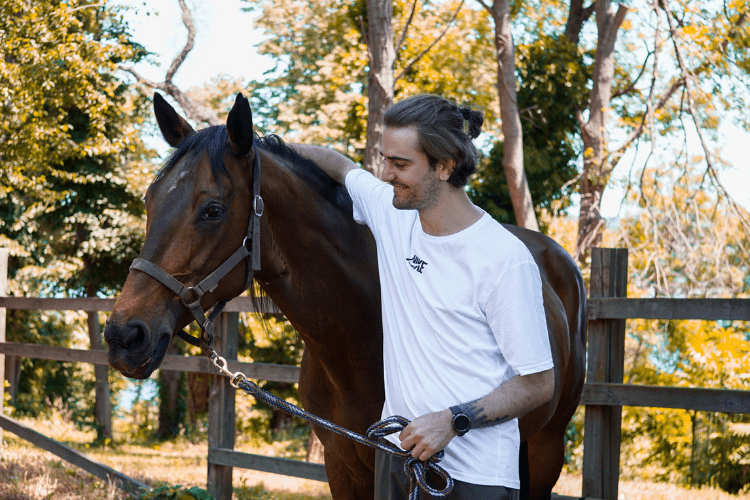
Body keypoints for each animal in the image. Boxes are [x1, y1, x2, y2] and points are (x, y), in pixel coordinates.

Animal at [104, 94, 588, 500]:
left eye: (213, 210)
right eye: (150, 200)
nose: (123, 336)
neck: (354, 337)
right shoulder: (341, 464)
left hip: (546, 450)